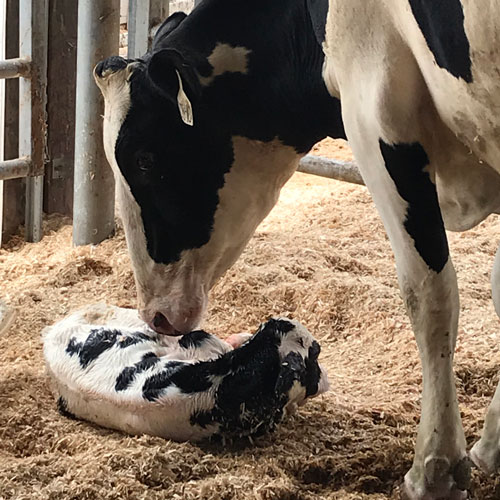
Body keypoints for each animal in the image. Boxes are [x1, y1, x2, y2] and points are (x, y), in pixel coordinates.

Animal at [95, 0, 500, 498]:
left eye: (145, 160)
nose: (157, 315)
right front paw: (491, 445)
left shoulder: (374, 112)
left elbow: (429, 296)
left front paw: (436, 468)